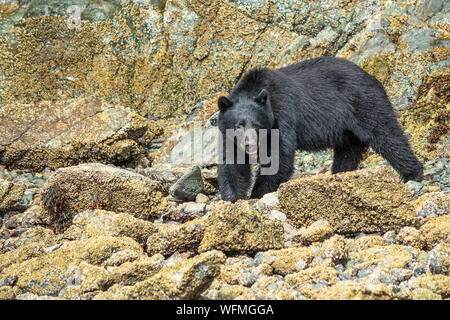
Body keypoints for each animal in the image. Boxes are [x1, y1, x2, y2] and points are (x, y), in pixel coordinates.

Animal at [217, 56, 422, 201]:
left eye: (258, 126)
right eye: (239, 125)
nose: (249, 144)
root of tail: (373, 77)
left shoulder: (283, 115)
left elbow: (279, 158)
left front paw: (258, 194)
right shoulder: (228, 136)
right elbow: (232, 164)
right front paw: (233, 198)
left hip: (365, 103)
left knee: (387, 135)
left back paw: (412, 174)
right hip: (347, 129)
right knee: (349, 151)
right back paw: (340, 174)